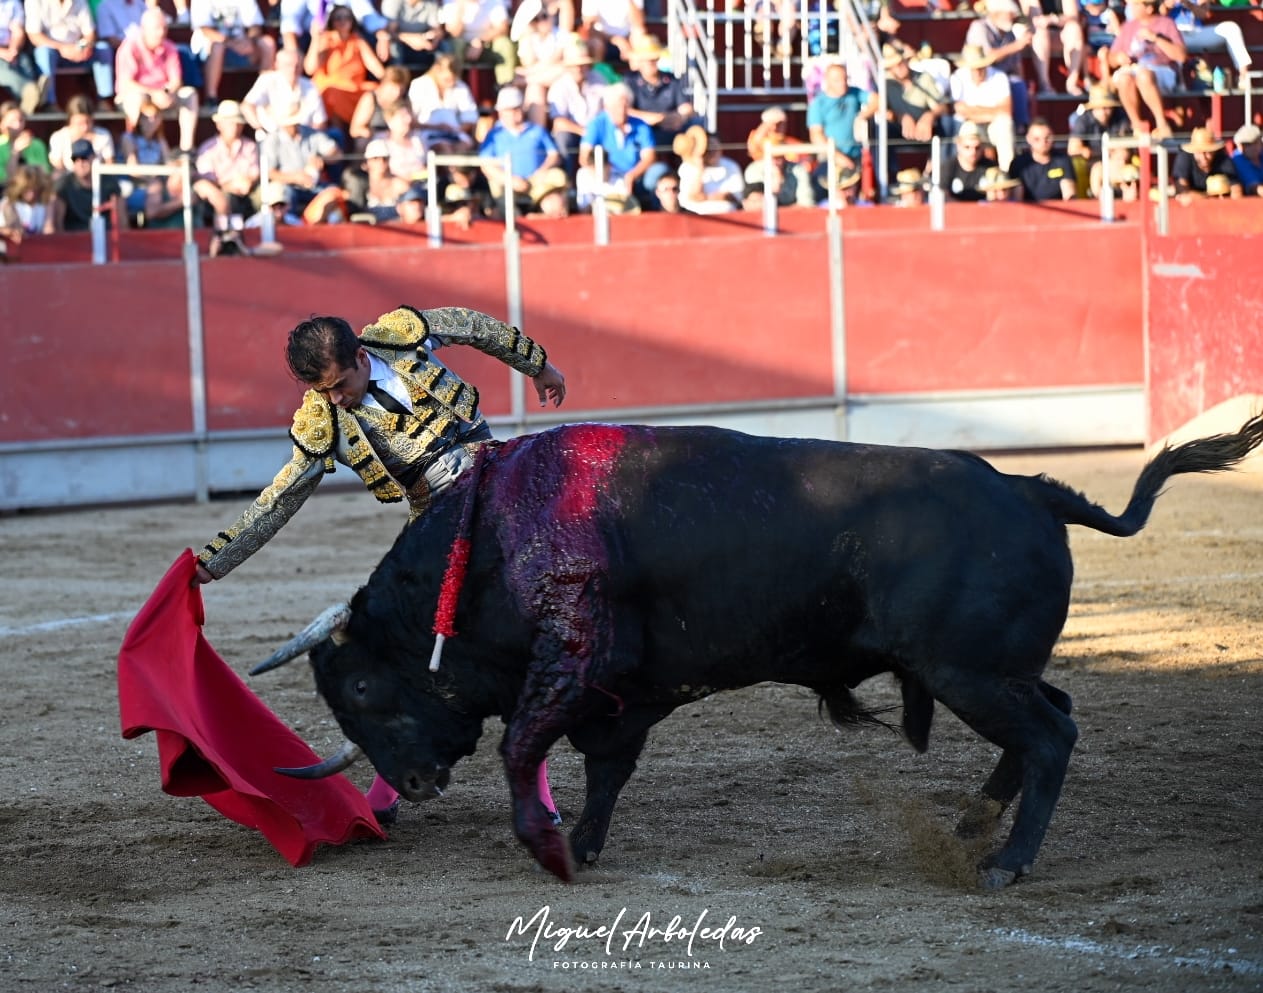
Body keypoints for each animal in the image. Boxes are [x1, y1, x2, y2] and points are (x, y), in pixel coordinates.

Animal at [258, 416, 1263, 884]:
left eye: (360, 685)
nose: (412, 783)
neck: (491, 537)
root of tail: (1029, 488)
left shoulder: (572, 663)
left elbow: (521, 747)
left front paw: (548, 847)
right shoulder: (623, 691)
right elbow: (603, 767)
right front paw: (582, 842)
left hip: (967, 671)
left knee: (1051, 737)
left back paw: (1005, 859)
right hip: (992, 673)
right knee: (1052, 716)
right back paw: (976, 823)